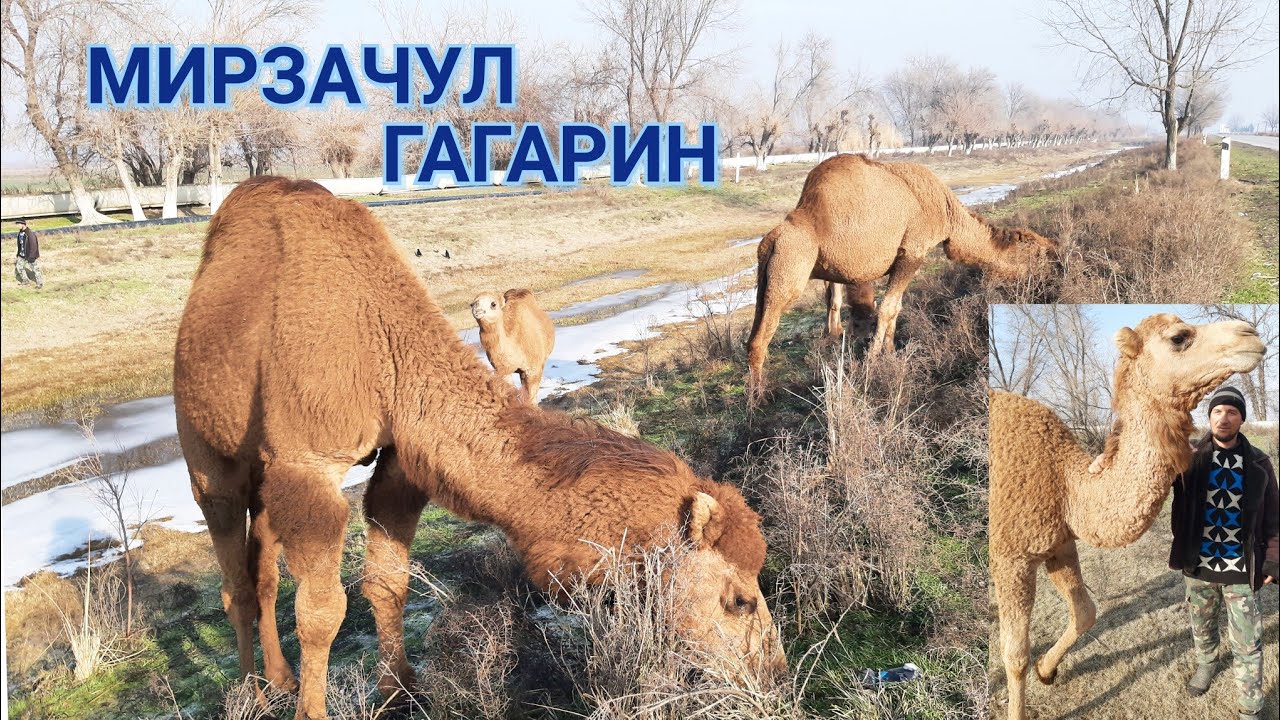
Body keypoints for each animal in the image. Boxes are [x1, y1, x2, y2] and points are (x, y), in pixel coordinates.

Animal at [173, 176, 785, 719]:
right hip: (206, 452)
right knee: (234, 576)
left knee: (262, 568)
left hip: (263, 471)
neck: (384, 353)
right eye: (738, 599)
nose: (773, 670)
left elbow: (387, 582)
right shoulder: (308, 464)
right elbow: (323, 611)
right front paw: (316, 709)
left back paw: (280, 678)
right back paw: (253, 695)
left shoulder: (402, 463)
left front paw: (401, 692)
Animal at [745, 153, 1056, 397]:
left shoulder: (902, 258)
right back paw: (756, 403)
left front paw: (891, 353)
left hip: (767, 275)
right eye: (1041, 256)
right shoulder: (912, 251)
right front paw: (871, 364)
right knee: (761, 337)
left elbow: (895, 308)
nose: (1053, 278)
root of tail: (770, 239)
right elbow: (886, 308)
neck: (948, 214)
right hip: (789, 267)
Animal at [989, 314, 1266, 720]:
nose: (1251, 334)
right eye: (1179, 337)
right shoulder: (1011, 556)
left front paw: (1047, 670)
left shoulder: (1060, 543)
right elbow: (1015, 653)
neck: (1066, 484)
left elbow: (1085, 612)